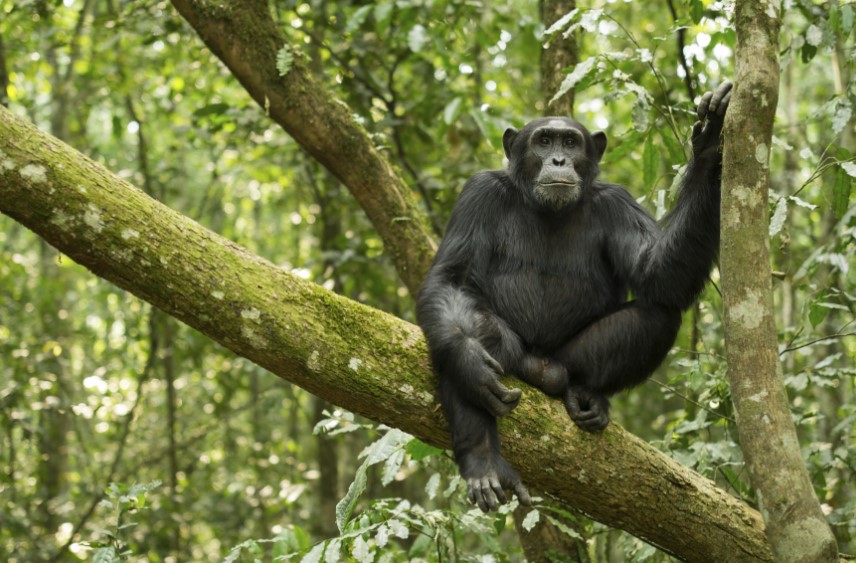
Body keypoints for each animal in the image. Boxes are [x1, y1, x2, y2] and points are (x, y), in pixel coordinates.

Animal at [418, 82, 732, 512]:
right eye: (543, 140)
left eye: (570, 141)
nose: (558, 159)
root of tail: (541, 366)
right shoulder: (478, 193)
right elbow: (452, 279)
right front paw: (470, 363)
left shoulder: (617, 203)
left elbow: (658, 275)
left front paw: (710, 141)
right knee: (474, 328)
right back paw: (482, 459)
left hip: (567, 361)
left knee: (658, 314)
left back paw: (586, 393)